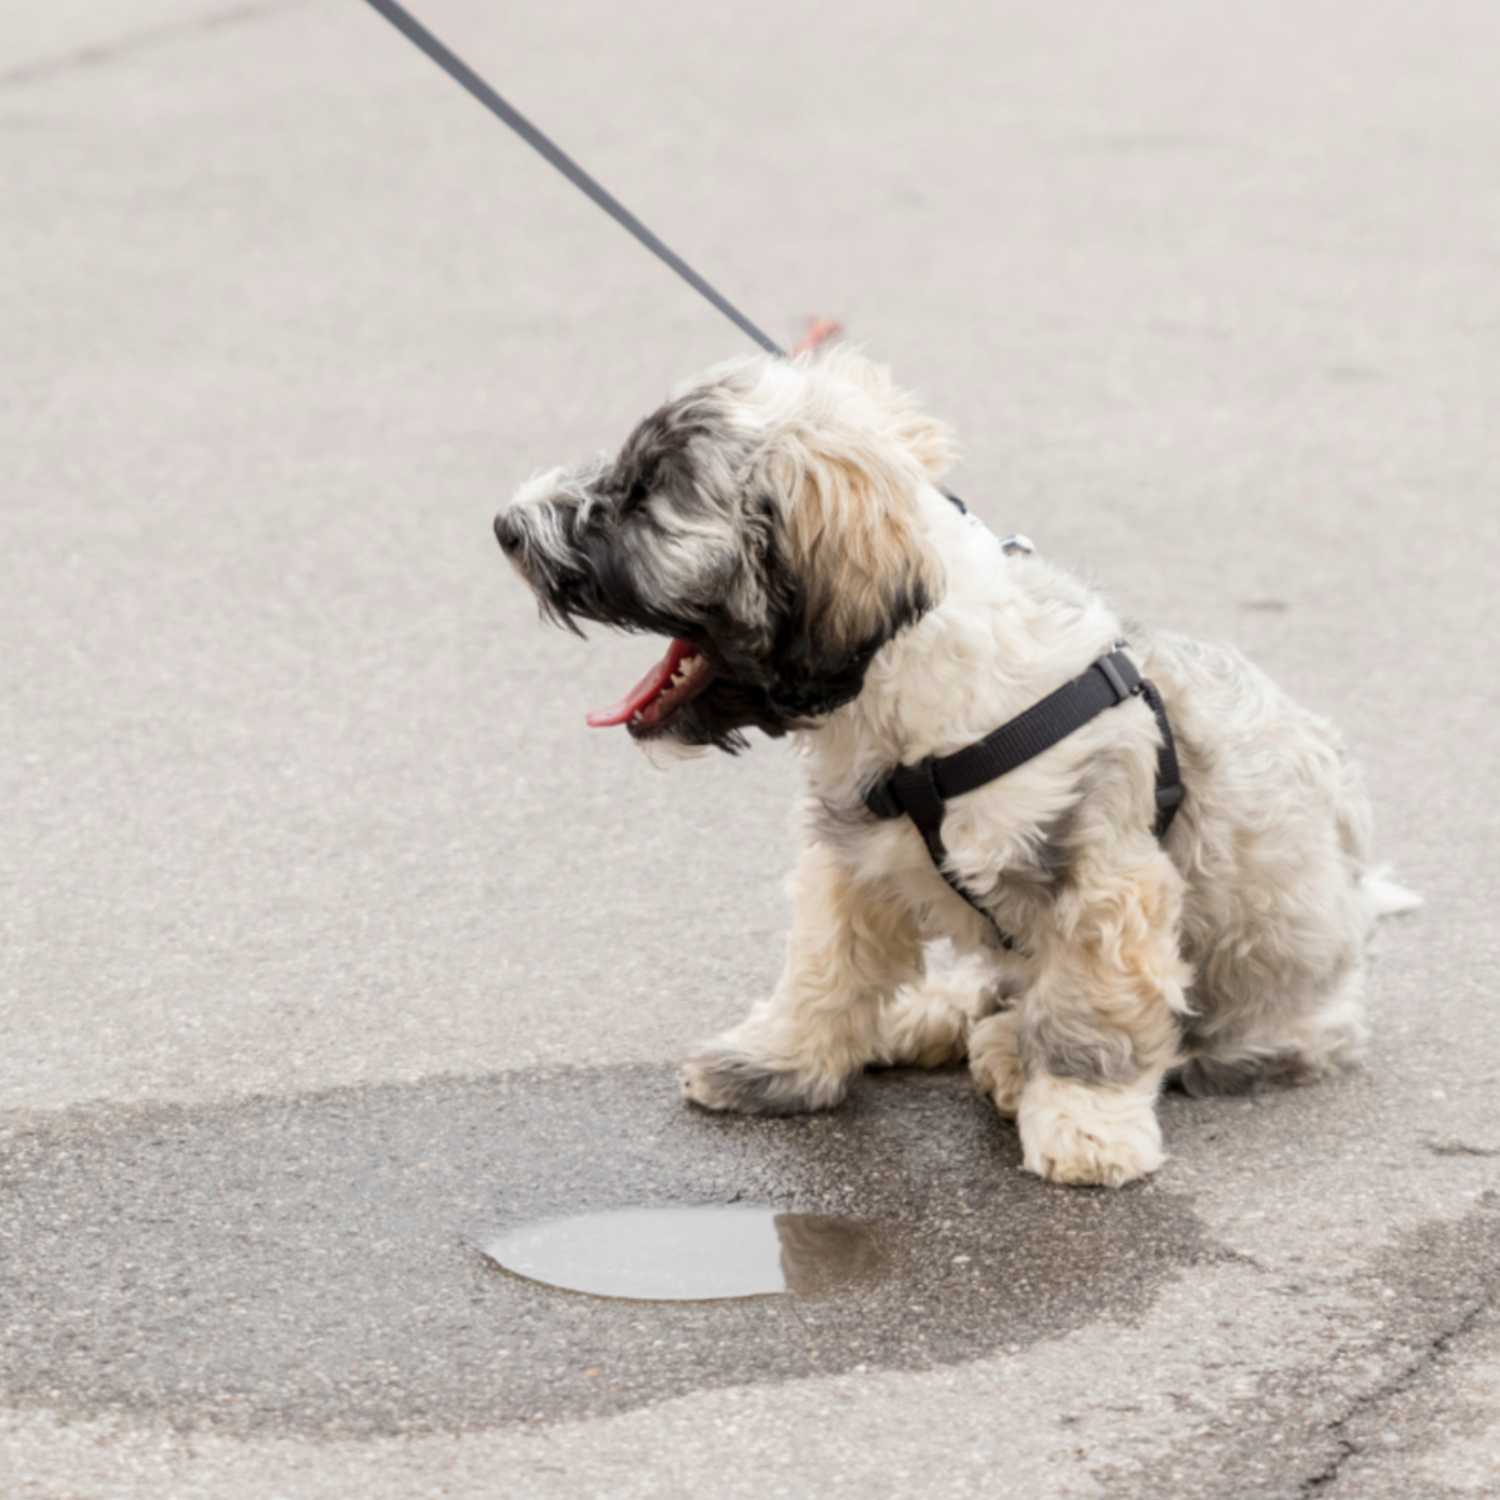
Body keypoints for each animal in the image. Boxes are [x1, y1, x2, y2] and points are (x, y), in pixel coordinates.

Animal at [495, 348, 1416, 1182]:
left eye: (643, 495)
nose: (507, 526)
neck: (911, 698)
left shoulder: (1105, 874)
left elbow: (1090, 1014)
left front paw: (1084, 1121)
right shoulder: (854, 862)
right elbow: (824, 971)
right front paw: (781, 1061)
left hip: (1271, 1010)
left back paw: (1009, 1051)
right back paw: (935, 1018)